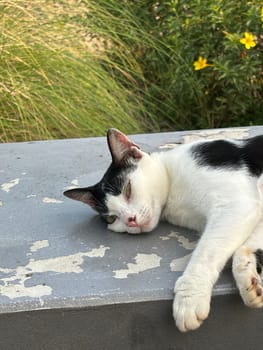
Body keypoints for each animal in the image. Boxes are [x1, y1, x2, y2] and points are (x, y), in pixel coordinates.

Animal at [64, 130, 263, 332]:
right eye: (112, 218)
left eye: (128, 190)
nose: (131, 220)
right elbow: (247, 246)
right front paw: (249, 278)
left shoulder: (236, 203)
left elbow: (206, 253)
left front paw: (189, 297)